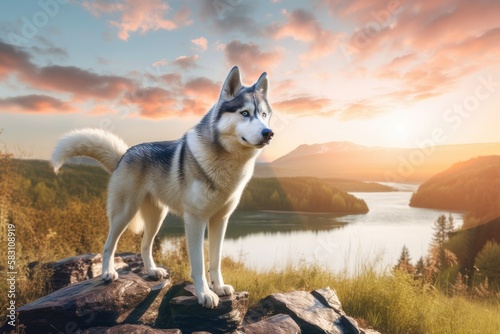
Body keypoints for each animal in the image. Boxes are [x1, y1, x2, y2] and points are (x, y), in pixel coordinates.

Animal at [50, 66, 274, 310]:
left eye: (263, 115)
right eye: (245, 113)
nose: (268, 133)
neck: (227, 163)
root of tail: (125, 154)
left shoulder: (220, 220)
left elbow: (215, 261)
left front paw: (219, 287)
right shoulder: (195, 220)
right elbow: (198, 265)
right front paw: (205, 294)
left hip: (157, 217)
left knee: (145, 245)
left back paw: (151, 271)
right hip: (124, 213)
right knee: (109, 245)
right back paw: (108, 273)